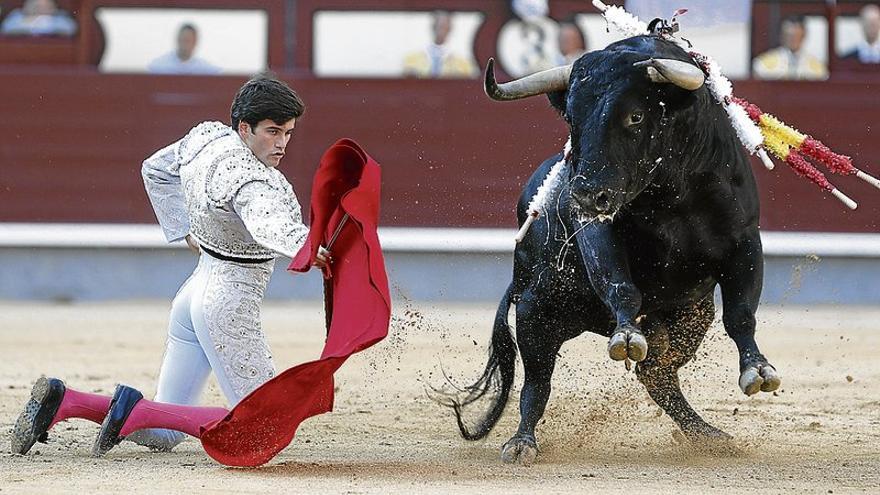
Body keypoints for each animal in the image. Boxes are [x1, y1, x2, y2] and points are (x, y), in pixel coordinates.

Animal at [440, 35, 784, 464]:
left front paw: (758, 369)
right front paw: (626, 336)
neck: (672, 196)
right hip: (537, 312)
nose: (585, 193)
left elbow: (740, 314)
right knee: (536, 385)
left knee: (657, 374)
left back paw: (707, 434)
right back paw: (522, 443)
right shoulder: (596, 228)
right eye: (572, 120)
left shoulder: (745, 242)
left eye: (635, 117)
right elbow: (621, 287)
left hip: (694, 313)